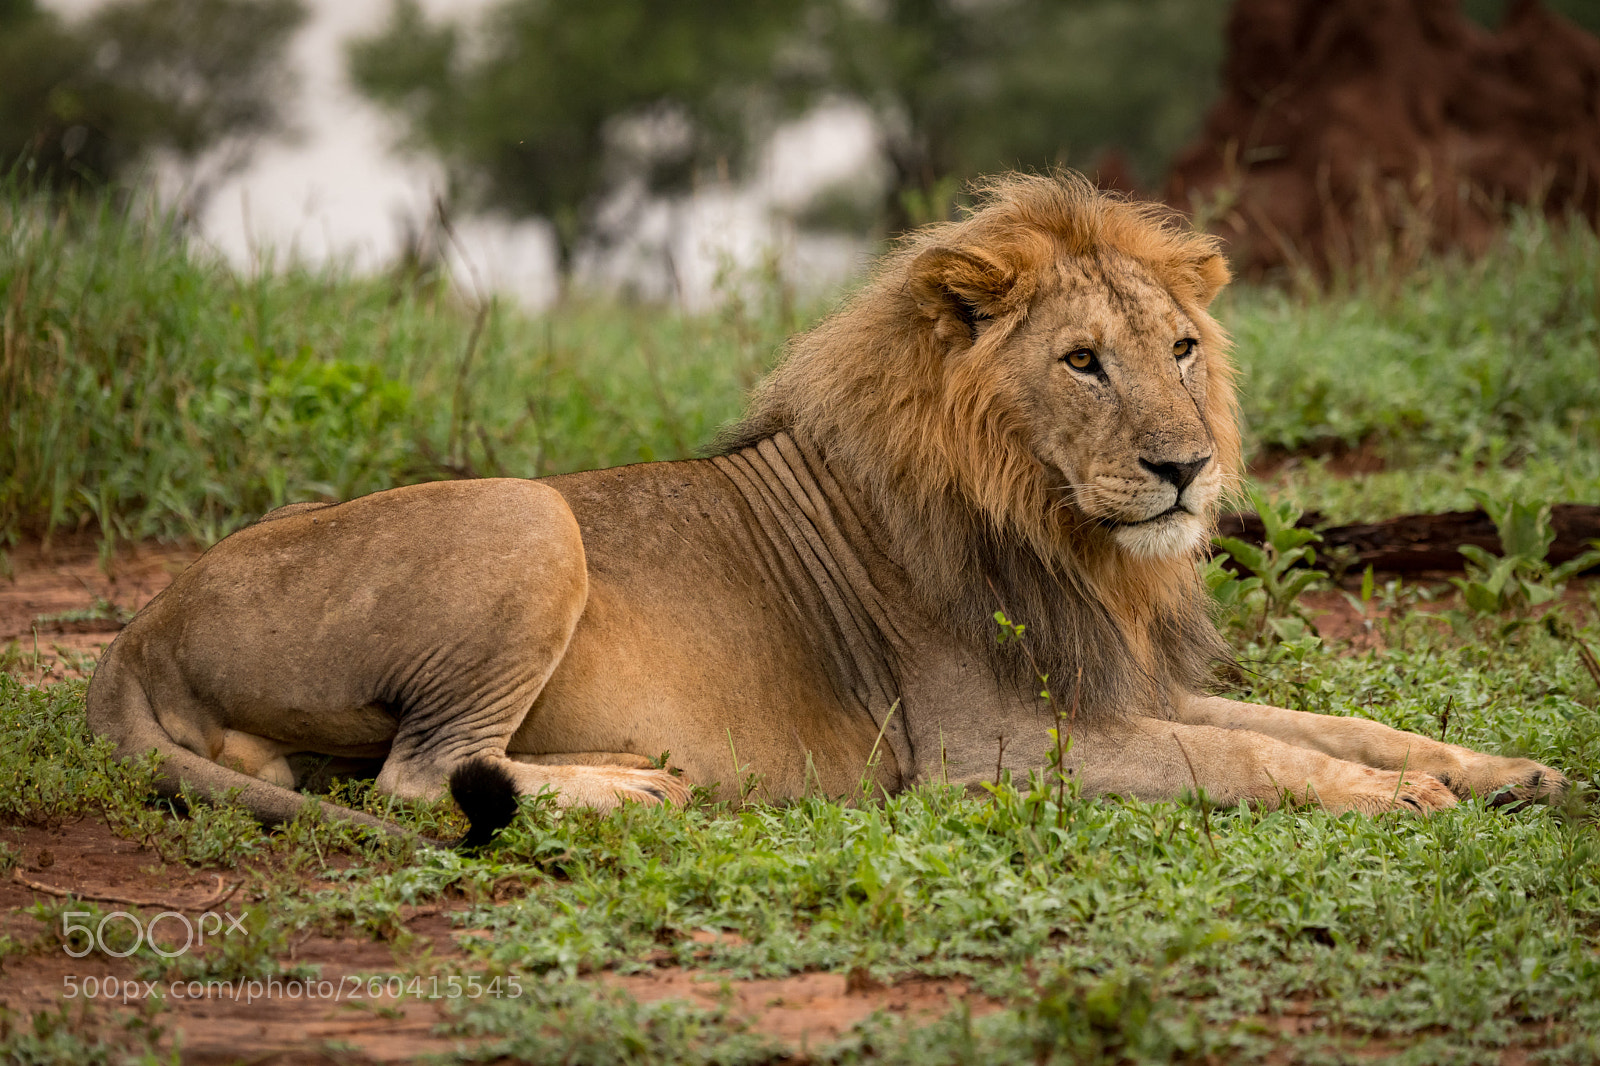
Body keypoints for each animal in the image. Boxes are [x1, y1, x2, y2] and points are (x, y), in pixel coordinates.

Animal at [86, 172, 1565, 843]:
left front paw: (1502, 769)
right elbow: (1258, 761)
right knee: (418, 773)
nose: (1184, 467)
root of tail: (138, 628)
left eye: (1183, 349)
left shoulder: (1133, 688)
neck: (1066, 532)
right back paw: (629, 786)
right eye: (1083, 362)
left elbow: (1330, 722)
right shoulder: (996, 752)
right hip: (524, 516)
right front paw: (1412, 798)